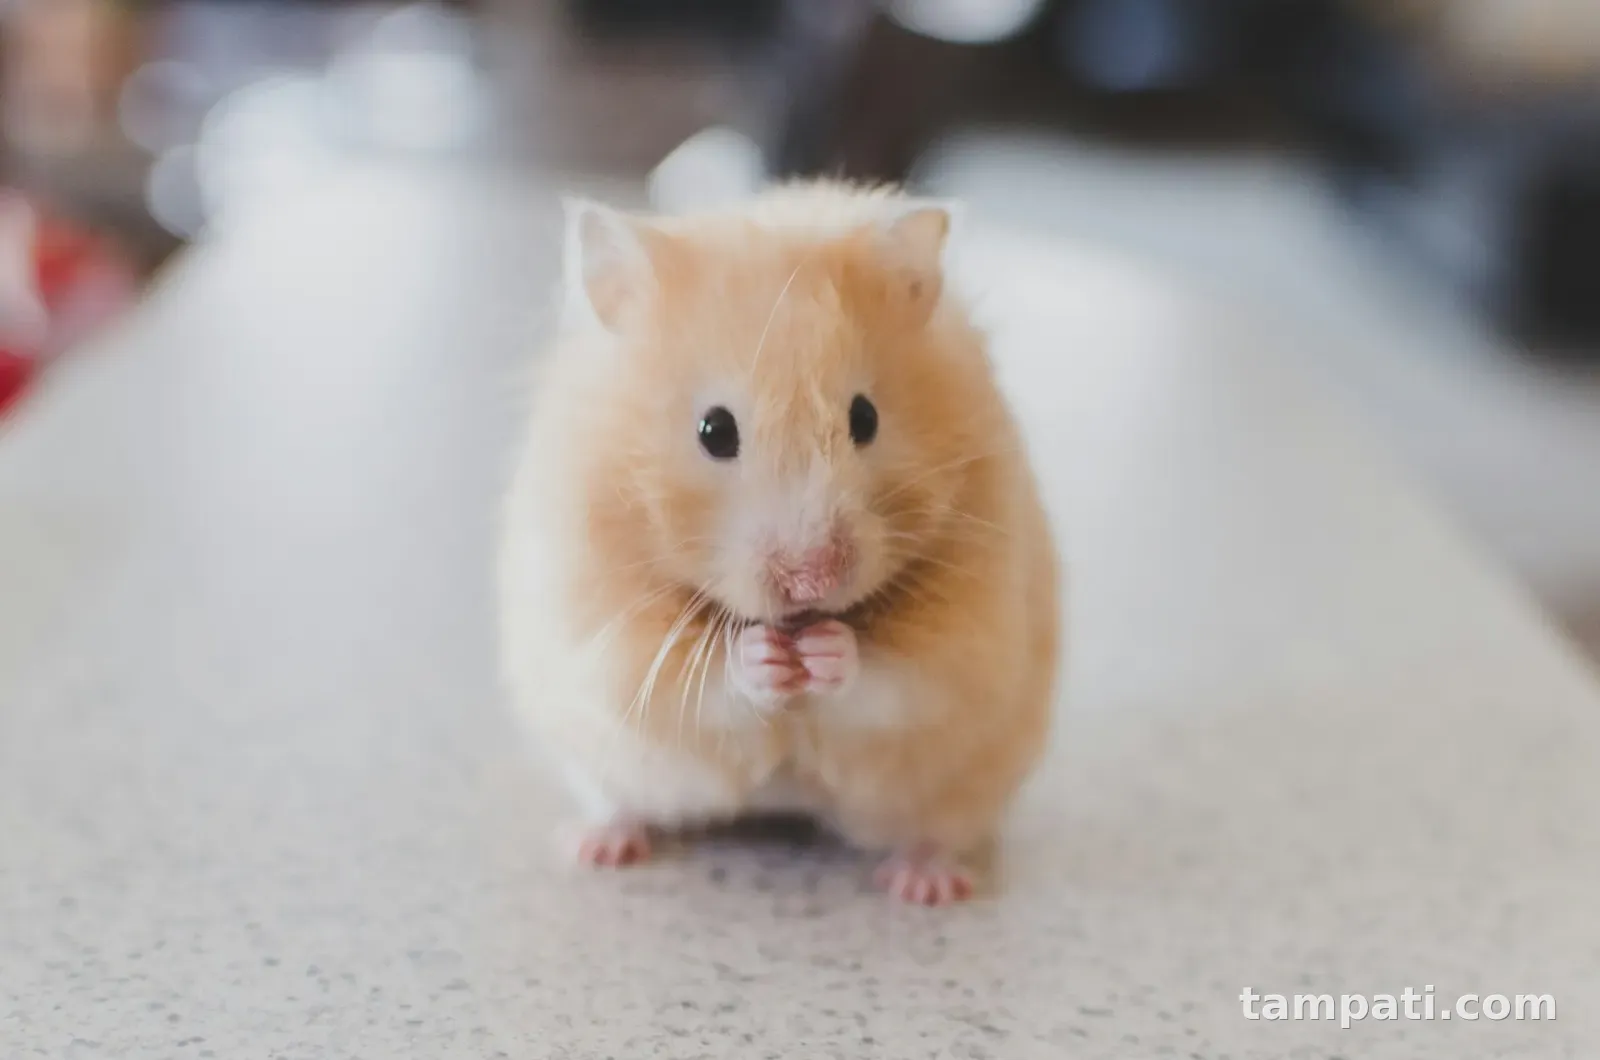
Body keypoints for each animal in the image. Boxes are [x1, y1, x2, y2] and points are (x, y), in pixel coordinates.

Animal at [498, 181, 1060, 905]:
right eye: (714, 430)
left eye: (865, 418)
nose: (812, 580)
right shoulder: (603, 628)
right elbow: (700, 680)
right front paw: (765, 657)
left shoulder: (971, 633)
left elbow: (897, 676)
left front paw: (826, 651)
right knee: (619, 801)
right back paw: (597, 847)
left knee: (936, 831)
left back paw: (925, 885)